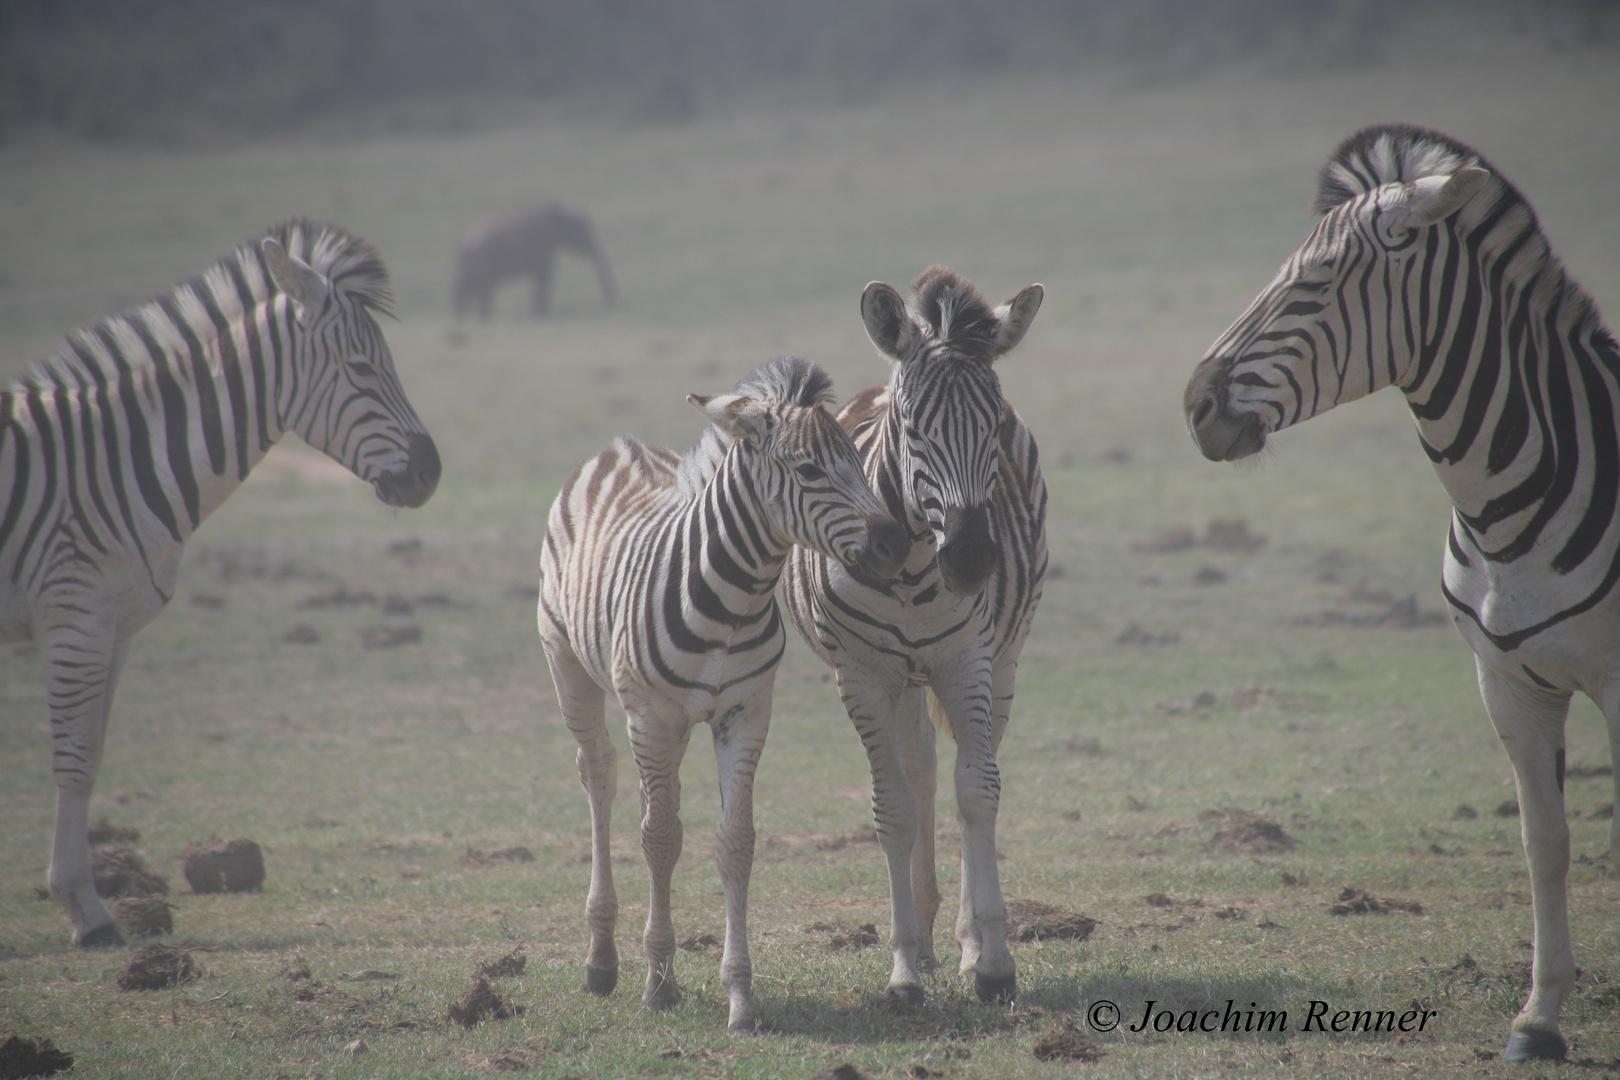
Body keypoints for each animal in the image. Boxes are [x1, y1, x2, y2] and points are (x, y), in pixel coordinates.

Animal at [3, 216, 440, 945]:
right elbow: (73, 757)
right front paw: (89, 914)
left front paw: (83, 901)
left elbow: (92, 753)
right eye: (362, 368)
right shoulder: (74, 615)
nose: (431, 473)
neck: (114, 459)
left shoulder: (114, 627)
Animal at [453, 204, 615, 317]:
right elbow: (545, 275)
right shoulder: (544, 246)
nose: (612, 299)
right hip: (482, 263)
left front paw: (538, 313)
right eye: (582, 230)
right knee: (477, 288)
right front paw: (541, 314)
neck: (556, 208)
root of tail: (463, 244)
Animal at [541, 359, 913, 1036]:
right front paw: (660, 984)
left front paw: (740, 995)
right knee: (600, 778)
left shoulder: (745, 713)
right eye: (809, 469)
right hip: (571, 668)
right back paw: (602, 960)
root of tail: (619, 446)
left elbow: (733, 843)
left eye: (856, 455)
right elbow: (661, 840)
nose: (895, 546)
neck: (735, 598)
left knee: (649, 799)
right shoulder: (652, 716)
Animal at [784, 268, 1049, 1003]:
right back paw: (928, 938)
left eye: (993, 425)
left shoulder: (969, 661)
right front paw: (903, 966)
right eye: (910, 427)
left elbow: (978, 793)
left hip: (1002, 662)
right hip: (902, 678)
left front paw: (992, 960)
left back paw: (963, 941)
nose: (971, 559)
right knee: (920, 768)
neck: (906, 569)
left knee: (962, 773)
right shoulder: (861, 673)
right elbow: (895, 809)